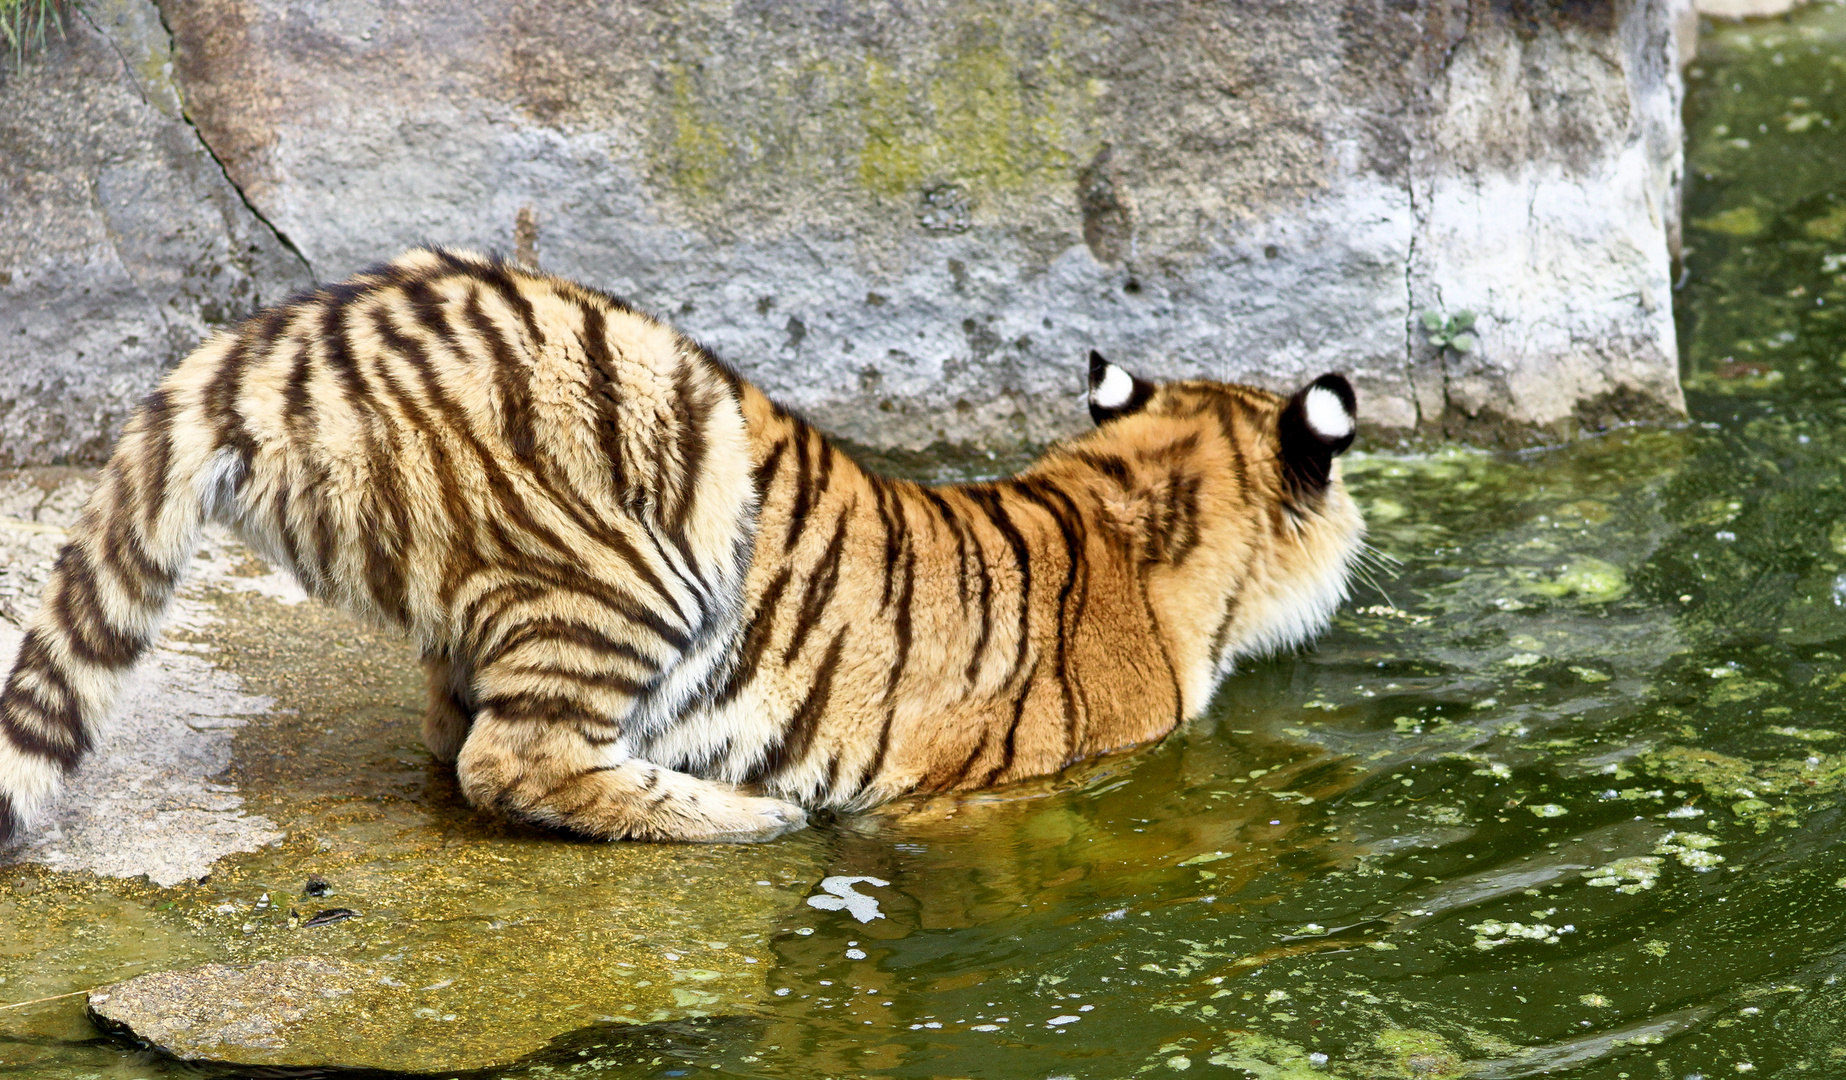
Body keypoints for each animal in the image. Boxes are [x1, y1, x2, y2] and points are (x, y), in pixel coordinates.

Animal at [0, 249, 1358, 845]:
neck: (1129, 500)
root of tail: (276, 344)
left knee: (454, 731)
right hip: (644, 536)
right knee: (509, 760)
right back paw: (743, 817)